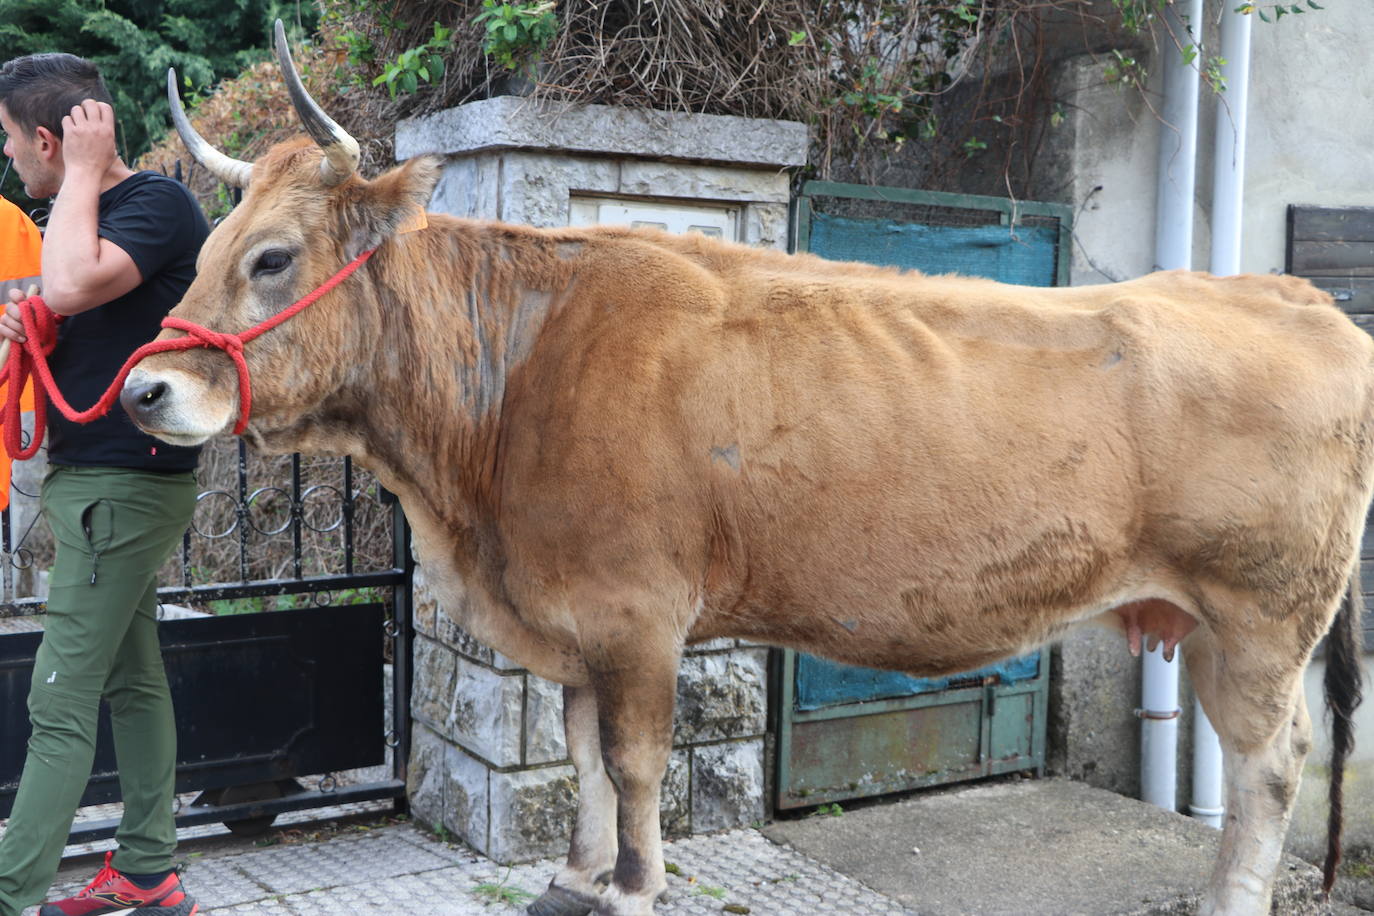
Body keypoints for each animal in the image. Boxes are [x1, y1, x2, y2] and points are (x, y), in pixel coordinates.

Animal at [123, 21, 1368, 916]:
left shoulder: (637, 613)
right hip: (1206, 617)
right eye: (206, 249)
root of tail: (1289, 295)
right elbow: (577, 754)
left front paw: (630, 888)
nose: (145, 389)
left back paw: (1231, 901)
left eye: (272, 258)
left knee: (1270, 769)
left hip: (1262, 614)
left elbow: (631, 764)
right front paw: (575, 877)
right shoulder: (574, 618)